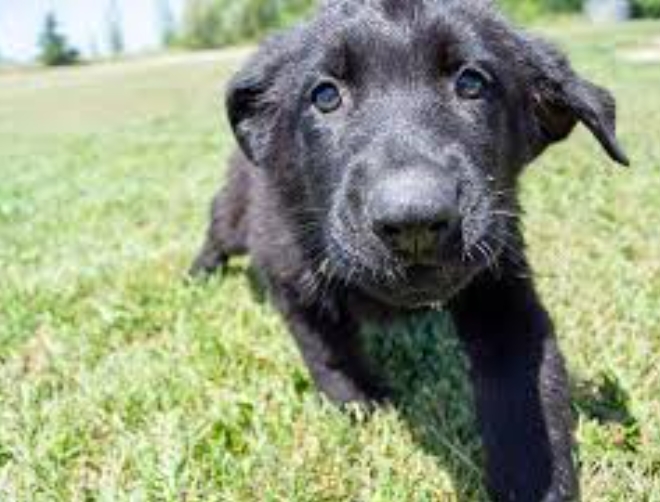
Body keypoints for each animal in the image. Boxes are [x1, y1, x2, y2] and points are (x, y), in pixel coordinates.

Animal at [189, 1, 628, 500]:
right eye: (325, 96)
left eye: (471, 83)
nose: (413, 221)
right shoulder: (290, 278)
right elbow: (328, 353)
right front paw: (360, 403)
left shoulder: (502, 286)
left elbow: (527, 389)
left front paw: (539, 482)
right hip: (237, 213)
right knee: (217, 227)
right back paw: (198, 274)